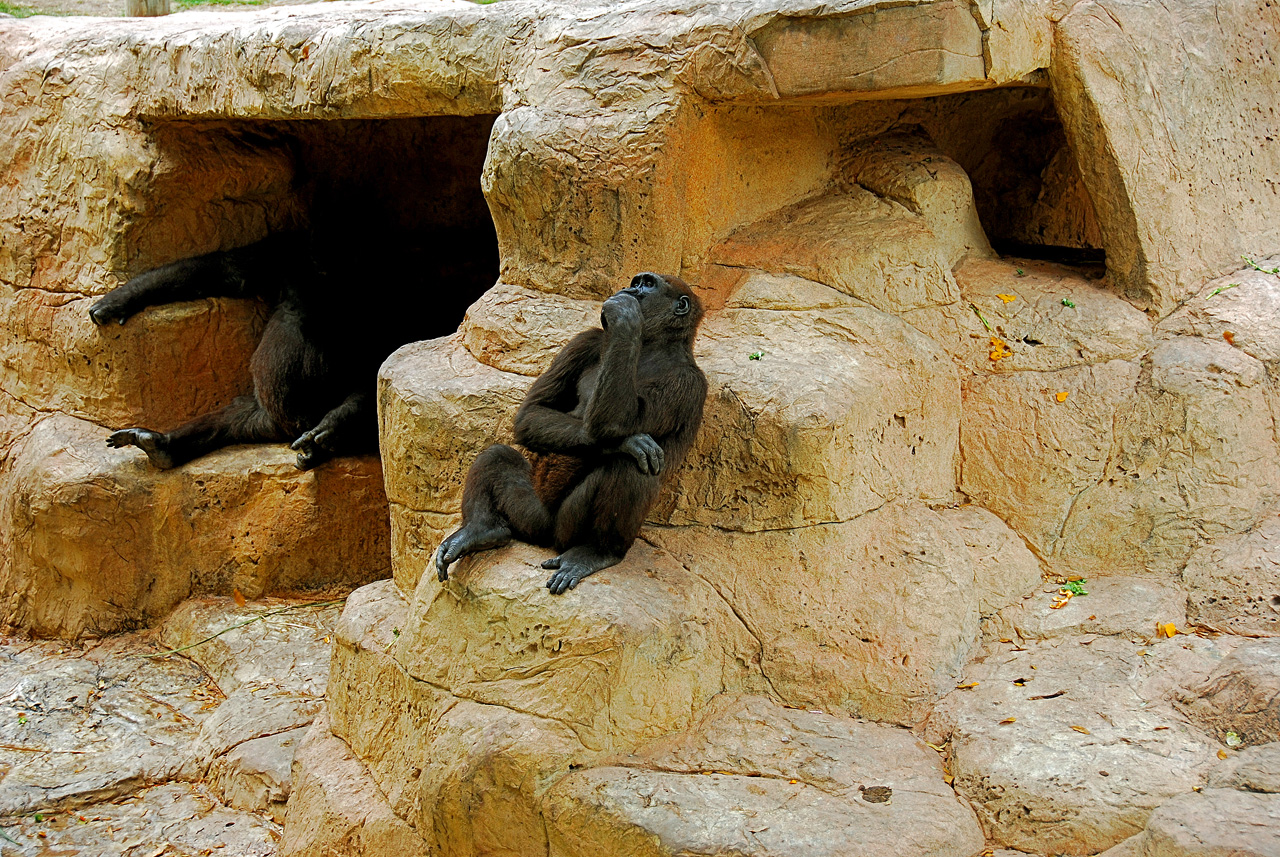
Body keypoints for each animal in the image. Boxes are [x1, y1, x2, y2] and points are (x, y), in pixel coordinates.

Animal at [90, 227, 496, 470]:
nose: (329, 276)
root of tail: (280, 429)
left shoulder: (391, 299)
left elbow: (375, 365)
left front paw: (332, 428)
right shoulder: (284, 255)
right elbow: (228, 271)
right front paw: (120, 299)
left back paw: (321, 444)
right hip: (261, 419)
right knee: (229, 418)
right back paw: (161, 445)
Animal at [435, 272, 706, 593]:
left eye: (648, 284)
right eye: (637, 281)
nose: (629, 289)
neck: (656, 345)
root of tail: (545, 540)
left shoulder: (687, 383)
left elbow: (615, 425)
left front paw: (624, 317)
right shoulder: (585, 340)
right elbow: (534, 412)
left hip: (566, 531)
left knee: (630, 468)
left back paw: (600, 551)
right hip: (532, 518)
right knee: (497, 457)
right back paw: (480, 530)